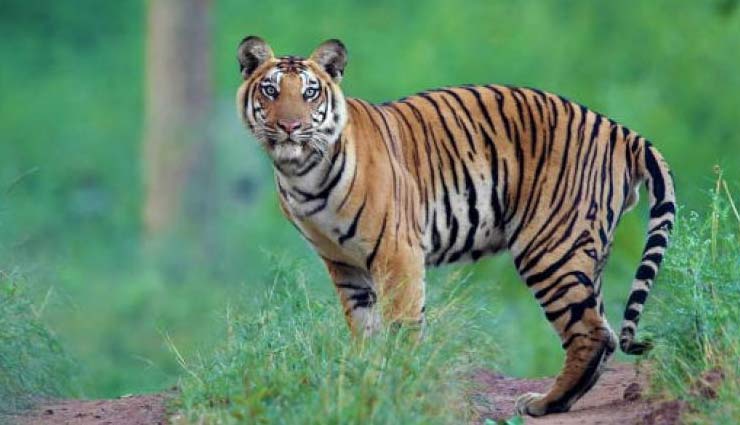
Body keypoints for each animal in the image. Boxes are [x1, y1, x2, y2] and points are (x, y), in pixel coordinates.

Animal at [235, 36, 675, 417]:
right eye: (271, 91)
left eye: (310, 93)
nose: (290, 127)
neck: (301, 175)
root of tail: (618, 129)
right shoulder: (343, 264)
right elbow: (364, 330)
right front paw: (365, 381)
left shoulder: (397, 252)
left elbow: (402, 326)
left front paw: (400, 386)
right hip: (585, 249)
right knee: (603, 329)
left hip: (550, 248)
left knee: (592, 332)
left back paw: (543, 404)